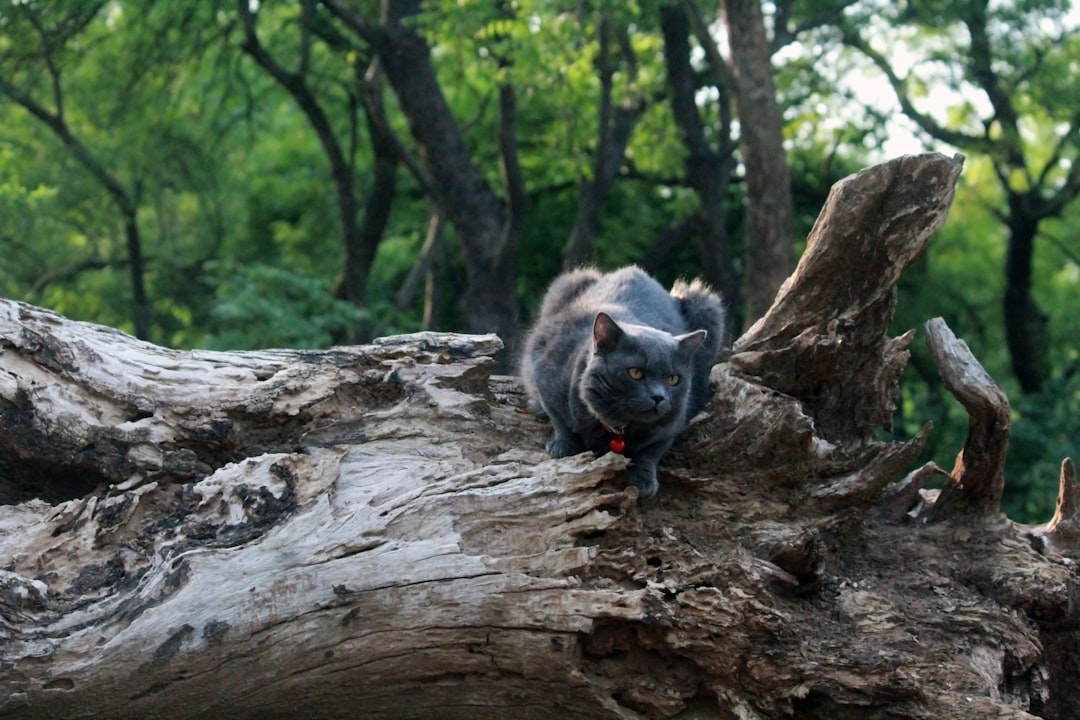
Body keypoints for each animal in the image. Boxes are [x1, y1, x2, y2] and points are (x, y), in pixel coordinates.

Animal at [516, 267, 721, 498]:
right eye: (635, 373)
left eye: (673, 379)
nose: (659, 397)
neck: (618, 428)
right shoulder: (545, 371)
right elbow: (558, 419)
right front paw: (562, 446)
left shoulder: (673, 422)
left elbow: (652, 450)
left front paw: (643, 478)